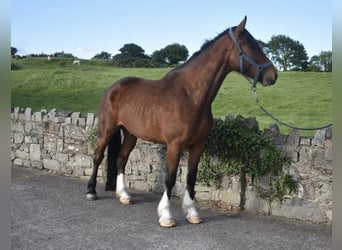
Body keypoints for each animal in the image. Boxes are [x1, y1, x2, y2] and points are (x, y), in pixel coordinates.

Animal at [86, 16, 278, 228]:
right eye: (251, 45)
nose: (273, 75)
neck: (191, 96)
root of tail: (113, 88)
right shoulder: (174, 145)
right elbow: (170, 178)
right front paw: (166, 215)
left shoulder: (198, 145)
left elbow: (191, 178)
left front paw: (192, 213)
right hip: (107, 130)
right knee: (97, 157)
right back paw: (91, 192)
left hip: (130, 134)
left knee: (121, 159)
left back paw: (124, 196)